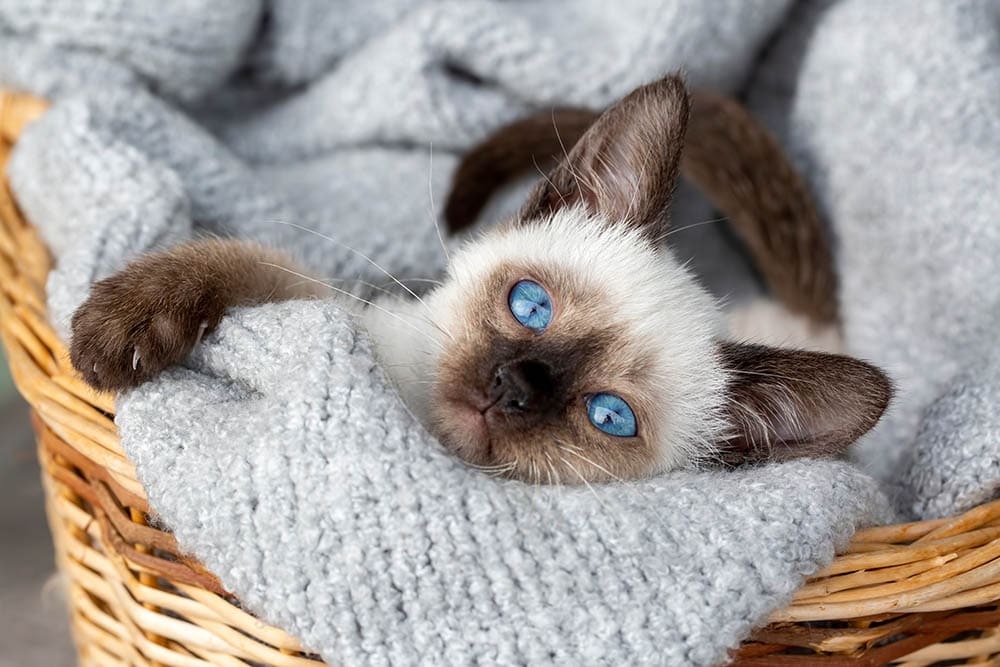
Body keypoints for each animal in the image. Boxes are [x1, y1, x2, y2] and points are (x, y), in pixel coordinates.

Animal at [68, 75, 892, 486]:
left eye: (610, 416)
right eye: (531, 305)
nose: (513, 388)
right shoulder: (351, 314)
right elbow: (240, 259)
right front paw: (117, 330)